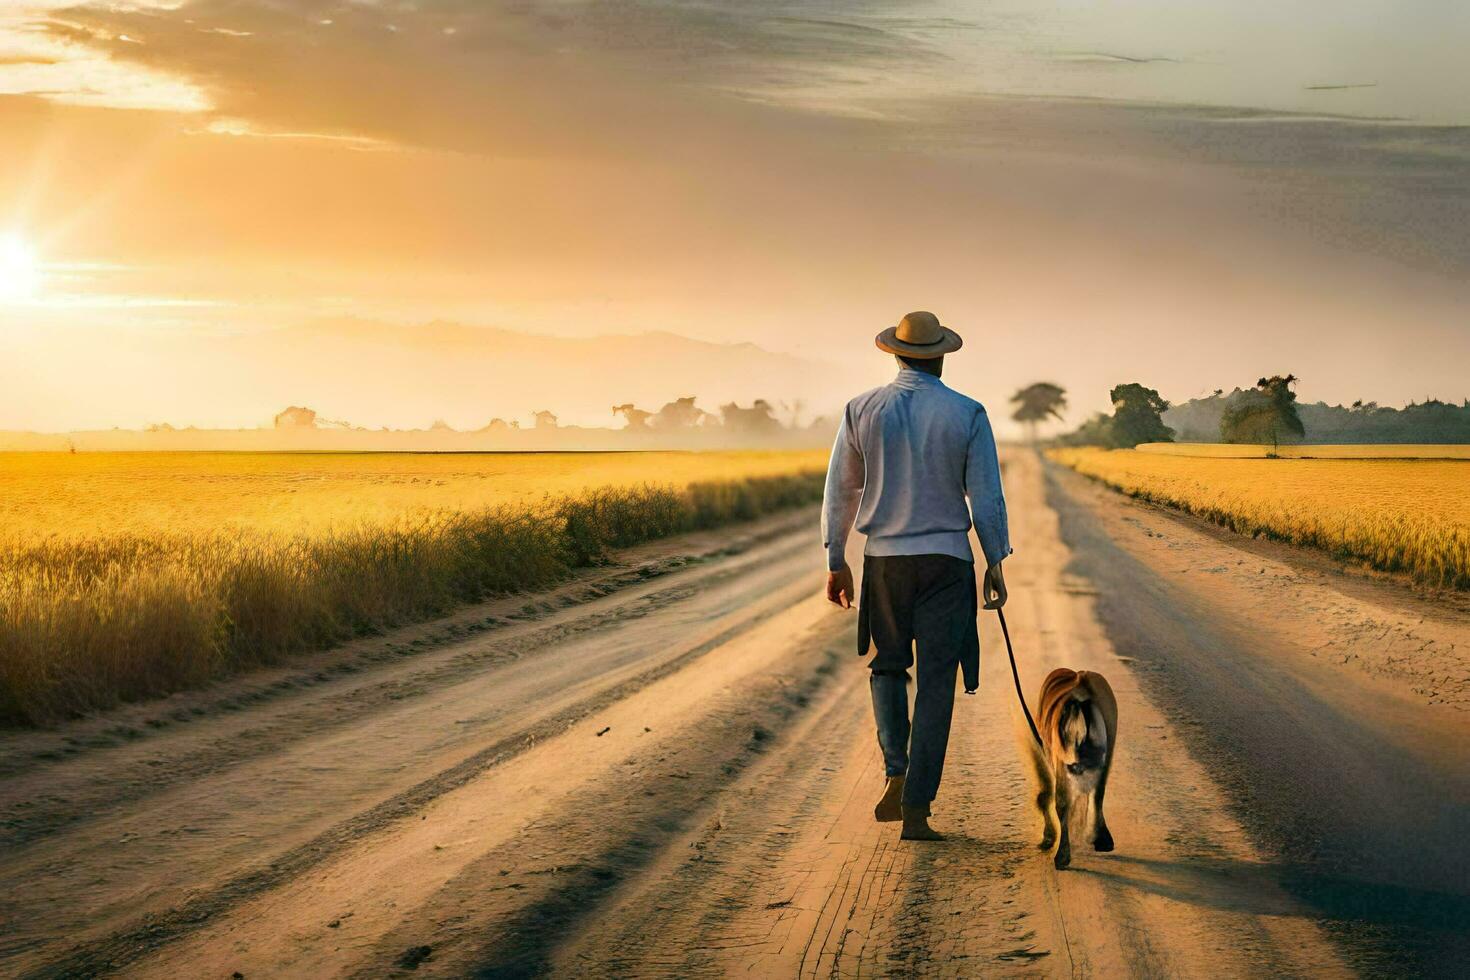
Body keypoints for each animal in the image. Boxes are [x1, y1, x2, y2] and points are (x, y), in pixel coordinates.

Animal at [1029, 669, 1117, 869]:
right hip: (1109, 745)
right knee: (1098, 794)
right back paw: (1101, 839)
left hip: (1061, 761)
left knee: (1062, 804)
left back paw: (1062, 856)